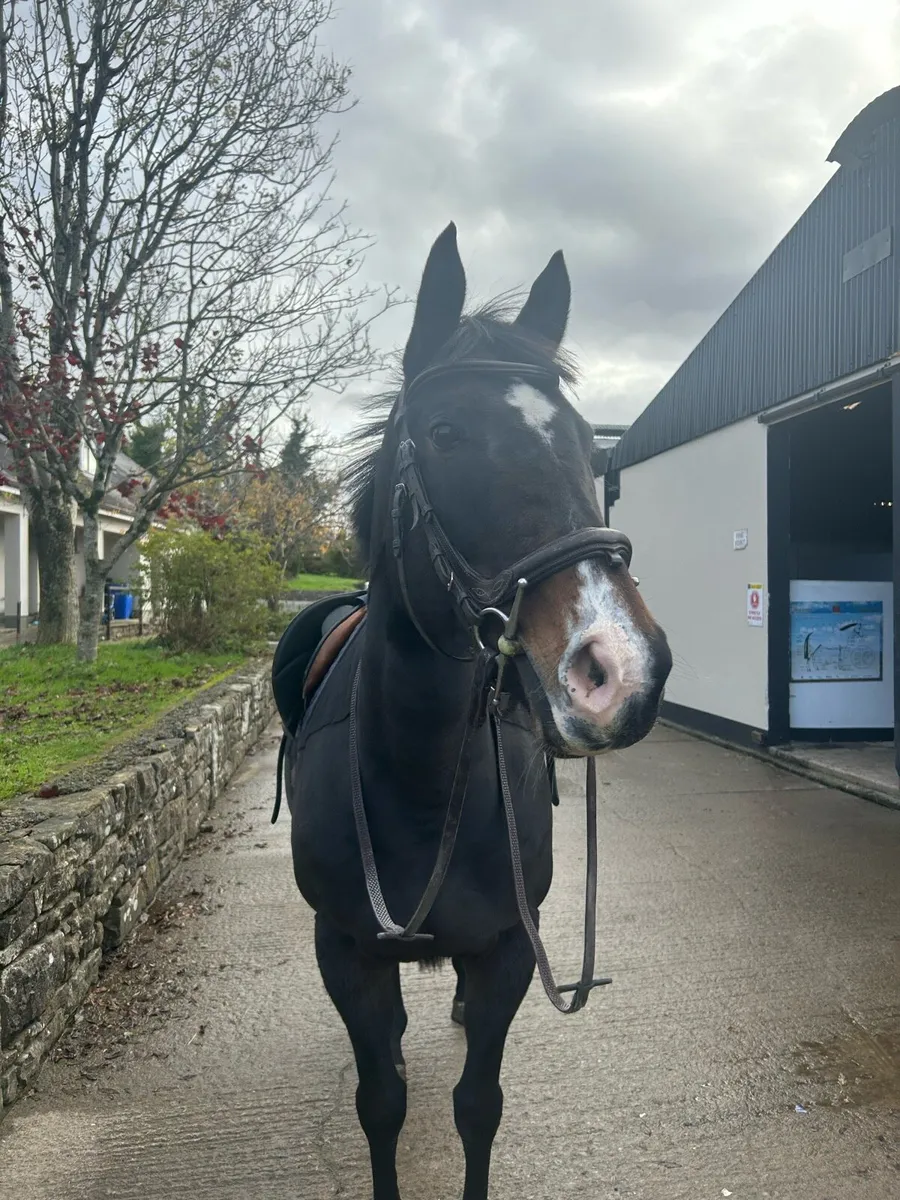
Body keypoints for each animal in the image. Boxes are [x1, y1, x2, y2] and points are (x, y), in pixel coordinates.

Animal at [277, 223, 672, 1200]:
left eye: (590, 446)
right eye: (445, 432)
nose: (622, 668)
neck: (417, 780)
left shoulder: (504, 955)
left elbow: (477, 1108)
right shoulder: (347, 952)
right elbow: (381, 1103)